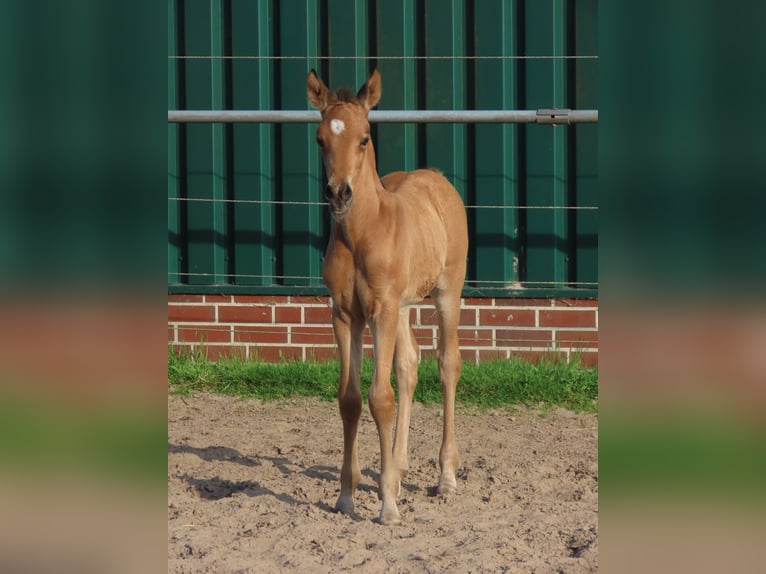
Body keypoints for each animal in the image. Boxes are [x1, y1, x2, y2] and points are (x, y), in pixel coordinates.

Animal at [306, 68, 469, 525]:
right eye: (320, 139)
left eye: (364, 138)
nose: (339, 193)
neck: (362, 232)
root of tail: (436, 176)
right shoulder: (345, 314)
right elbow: (350, 400)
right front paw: (347, 496)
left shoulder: (380, 311)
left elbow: (381, 398)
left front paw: (388, 505)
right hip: (403, 307)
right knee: (409, 364)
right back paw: (397, 466)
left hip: (446, 291)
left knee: (447, 363)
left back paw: (445, 477)